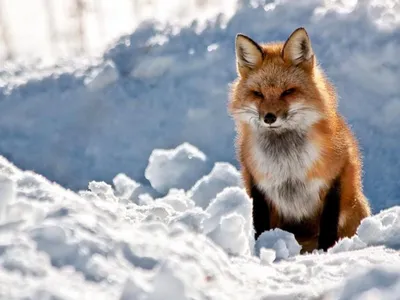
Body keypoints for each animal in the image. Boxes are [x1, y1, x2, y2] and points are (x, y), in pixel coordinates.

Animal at [228, 28, 372, 253]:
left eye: (288, 91)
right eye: (258, 94)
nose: (269, 118)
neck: (288, 163)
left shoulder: (335, 177)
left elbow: (328, 228)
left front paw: (325, 253)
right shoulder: (257, 182)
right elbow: (260, 225)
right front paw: (260, 248)